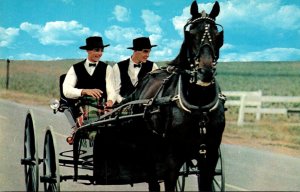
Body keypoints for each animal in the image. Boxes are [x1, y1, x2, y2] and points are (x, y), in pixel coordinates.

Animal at [123, 0, 225, 191]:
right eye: (190, 34)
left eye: (218, 34)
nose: (205, 72)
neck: (199, 105)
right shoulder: (171, 160)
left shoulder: (210, 156)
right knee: (152, 179)